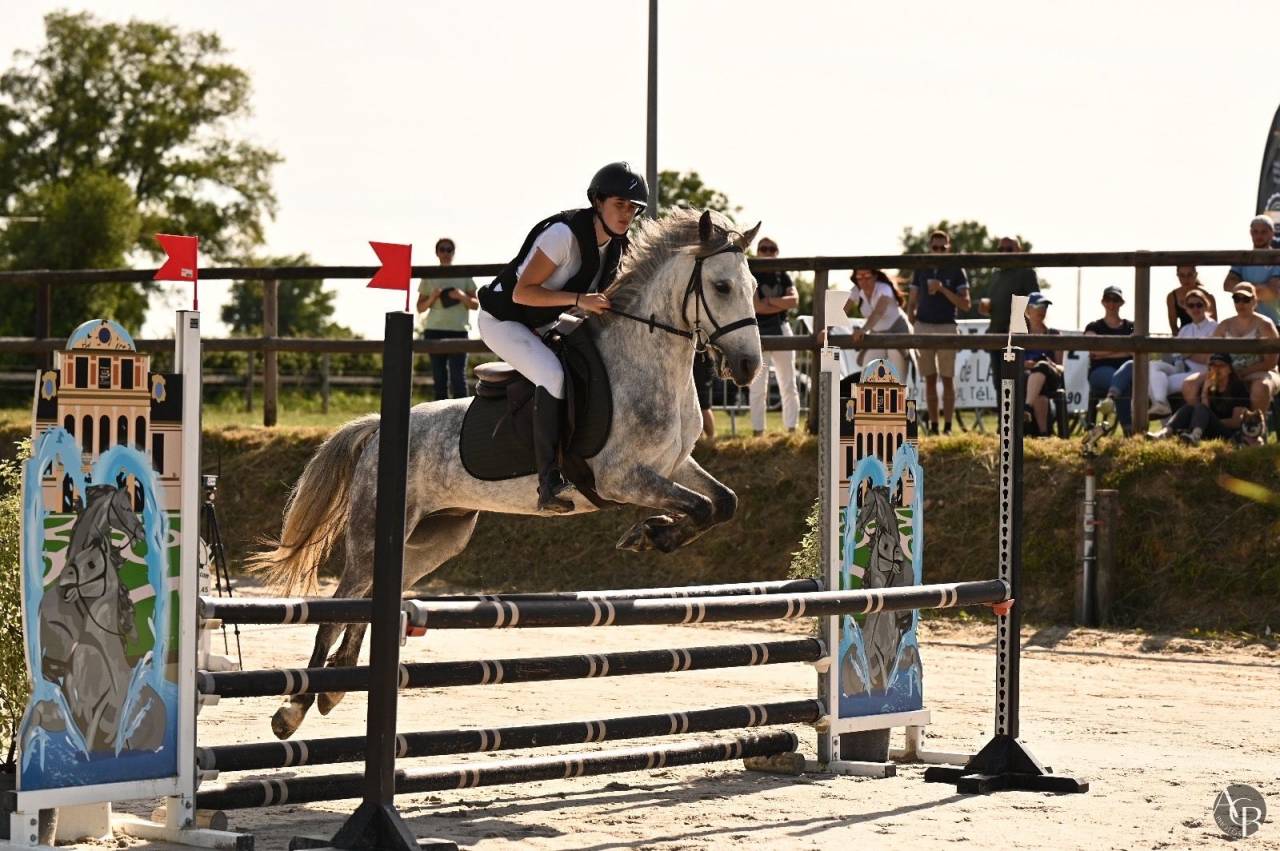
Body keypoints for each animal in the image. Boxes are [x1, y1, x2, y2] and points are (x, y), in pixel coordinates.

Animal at [251, 209, 764, 739]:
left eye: (752, 286)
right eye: (721, 286)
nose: (748, 367)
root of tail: (377, 430)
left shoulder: (674, 466)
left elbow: (722, 503)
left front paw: (653, 533)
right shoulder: (623, 478)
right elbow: (700, 506)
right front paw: (651, 534)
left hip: (435, 538)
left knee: (374, 595)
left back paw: (334, 688)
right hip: (374, 532)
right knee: (342, 602)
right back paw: (294, 708)